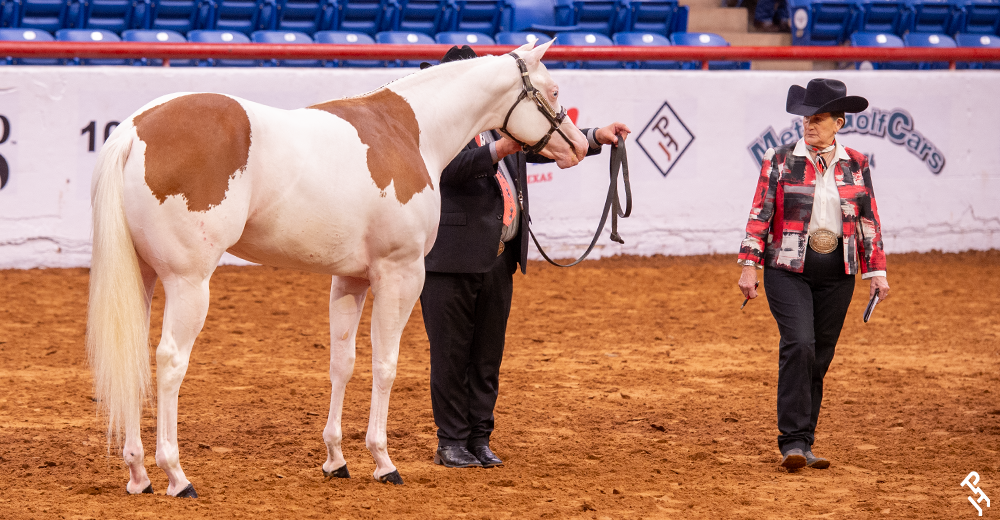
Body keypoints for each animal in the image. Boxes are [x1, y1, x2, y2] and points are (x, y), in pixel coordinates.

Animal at [88, 39, 584, 496]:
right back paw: (176, 475)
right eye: (554, 91)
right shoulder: (400, 274)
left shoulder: (350, 279)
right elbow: (386, 364)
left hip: (143, 277)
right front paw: (383, 462)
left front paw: (335, 459)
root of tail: (135, 128)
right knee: (170, 361)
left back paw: (138, 474)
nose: (579, 145)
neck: (411, 131)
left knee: (136, 357)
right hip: (189, 282)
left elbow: (341, 363)